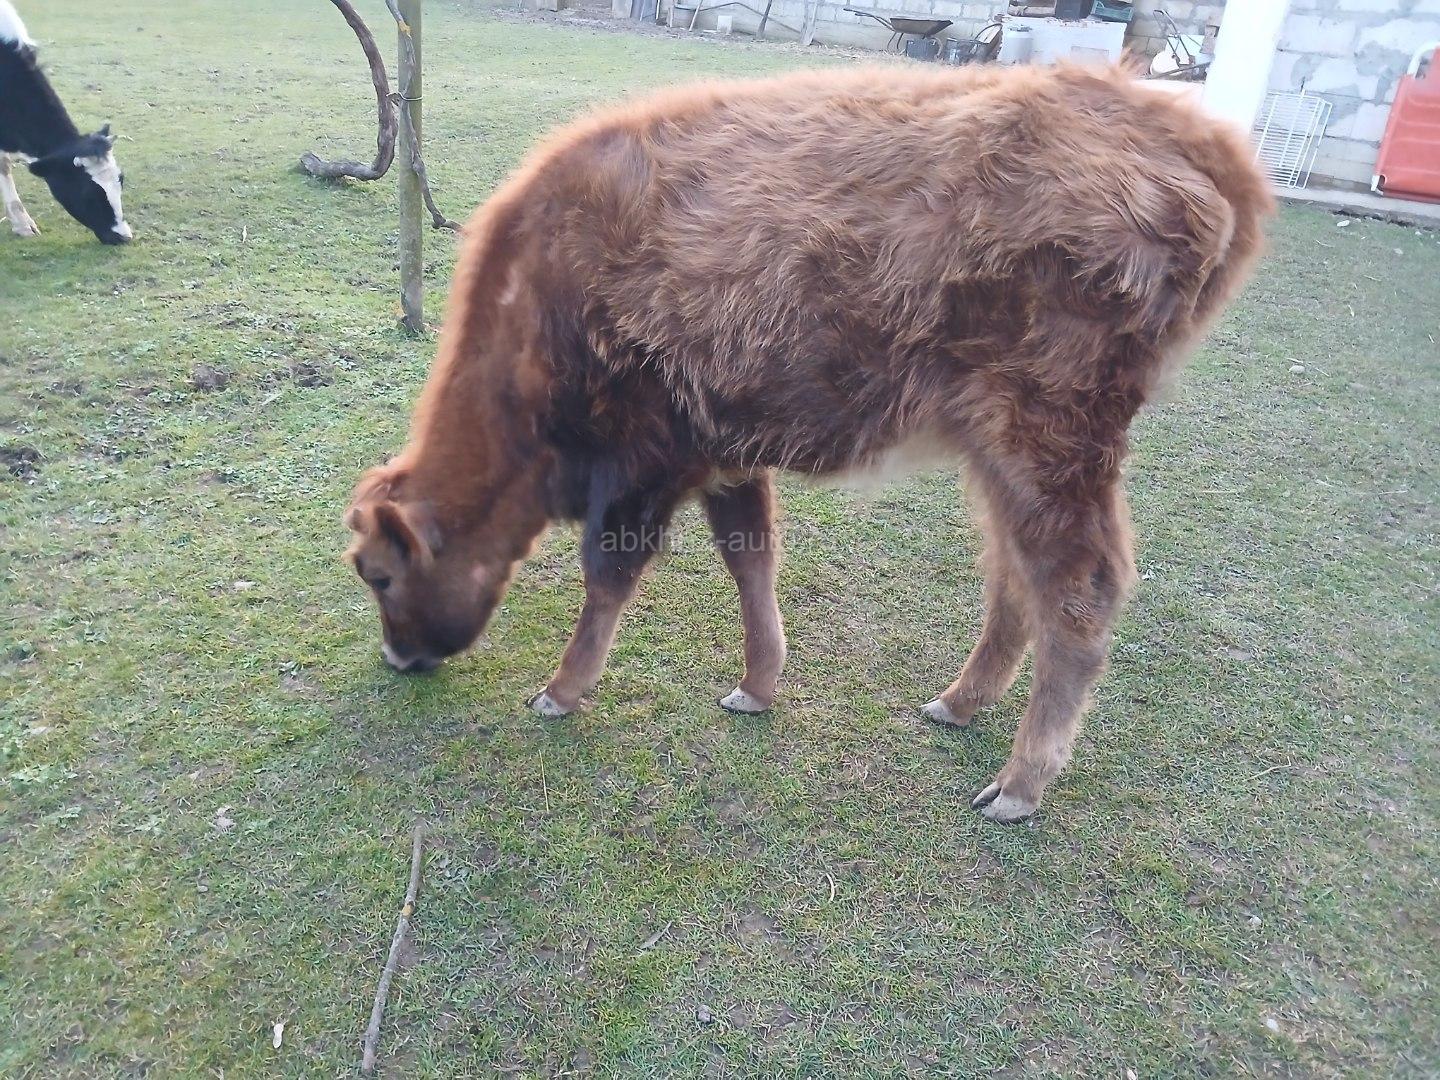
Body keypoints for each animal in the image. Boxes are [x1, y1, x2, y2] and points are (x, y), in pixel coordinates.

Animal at [344, 64, 1273, 822]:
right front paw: (757, 686)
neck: (539, 298)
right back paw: (958, 704)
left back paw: (1019, 785)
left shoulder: (644, 464)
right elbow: (751, 556)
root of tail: (1194, 136)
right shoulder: (722, 455)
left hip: (1050, 445)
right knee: (1013, 575)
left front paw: (561, 691)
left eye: (381, 574)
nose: (396, 657)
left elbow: (610, 575)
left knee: (1081, 589)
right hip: (998, 455)